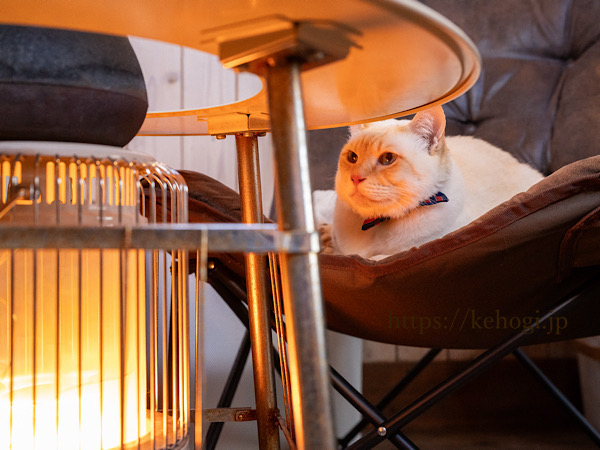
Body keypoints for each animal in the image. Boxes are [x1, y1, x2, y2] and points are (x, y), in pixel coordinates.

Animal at [316, 106, 548, 260]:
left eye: (388, 159)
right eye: (352, 157)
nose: (355, 178)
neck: (376, 223)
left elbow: (376, 258)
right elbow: (336, 246)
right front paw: (324, 240)